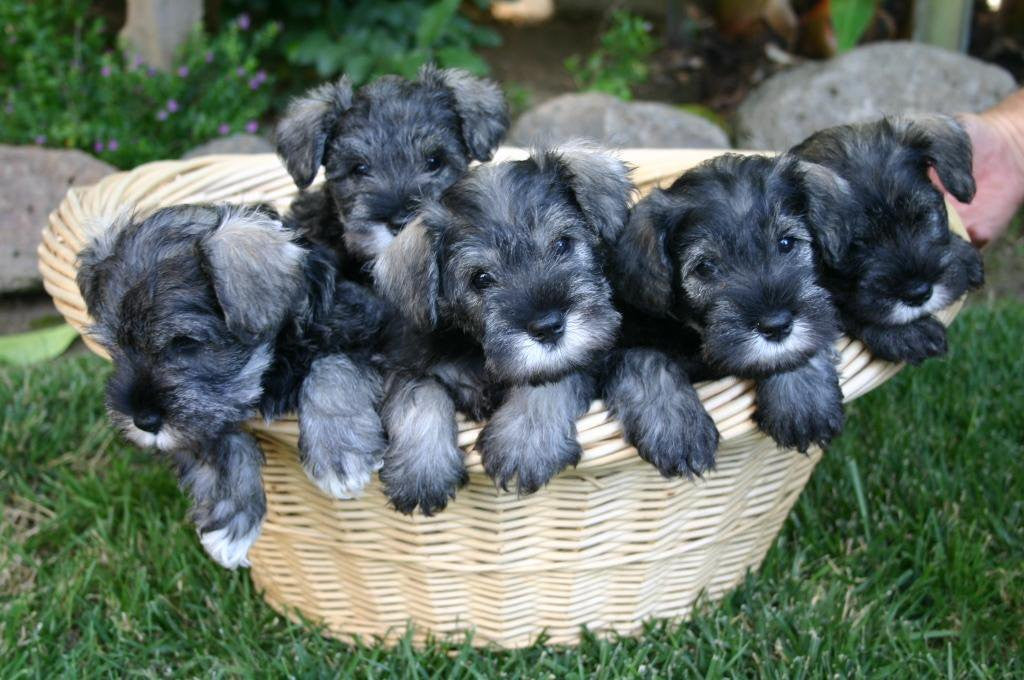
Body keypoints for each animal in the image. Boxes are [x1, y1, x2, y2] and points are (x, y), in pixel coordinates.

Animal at [76, 205, 387, 569]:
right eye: (115, 348)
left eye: (185, 343)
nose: (143, 421)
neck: (270, 366)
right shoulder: (204, 416)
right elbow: (220, 442)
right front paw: (231, 522)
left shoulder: (369, 336)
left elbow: (332, 369)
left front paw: (340, 456)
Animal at [368, 144, 630, 516]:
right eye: (480, 278)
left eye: (562, 244)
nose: (548, 327)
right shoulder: (405, 362)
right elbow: (420, 397)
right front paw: (421, 470)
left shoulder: (591, 353)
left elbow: (549, 378)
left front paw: (523, 442)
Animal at [610, 153, 843, 456]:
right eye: (705, 267)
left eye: (786, 242)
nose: (777, 325)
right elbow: (643, 357)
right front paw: (677, 428)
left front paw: (803, 399)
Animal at [790, 114, 983, 364]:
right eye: (856, 243)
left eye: (923, 215)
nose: (918, 293)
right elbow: (843, 309)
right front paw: (907, 334)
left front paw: (963, 253)